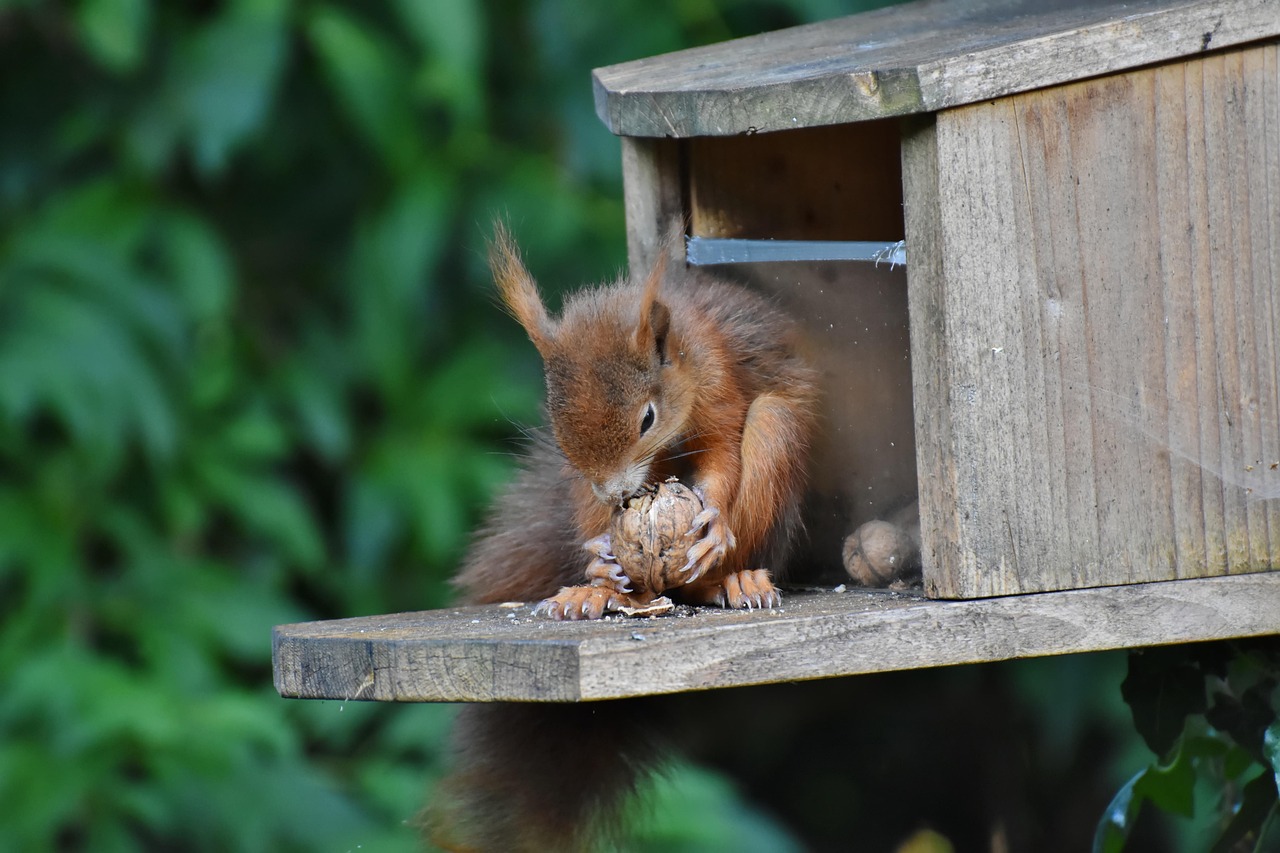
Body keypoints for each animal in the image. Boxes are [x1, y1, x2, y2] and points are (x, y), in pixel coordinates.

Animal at [426, 224, 820, 851]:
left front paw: (714, 526)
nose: (614, 492)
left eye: (647, 418)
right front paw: (598, 563)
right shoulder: (585, 476)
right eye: (557, 421)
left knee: (764, 435)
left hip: (776, 437)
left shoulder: (718, 381)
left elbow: (722, 455)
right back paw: (596, 590)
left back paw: (732, 579)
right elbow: (598, 520)